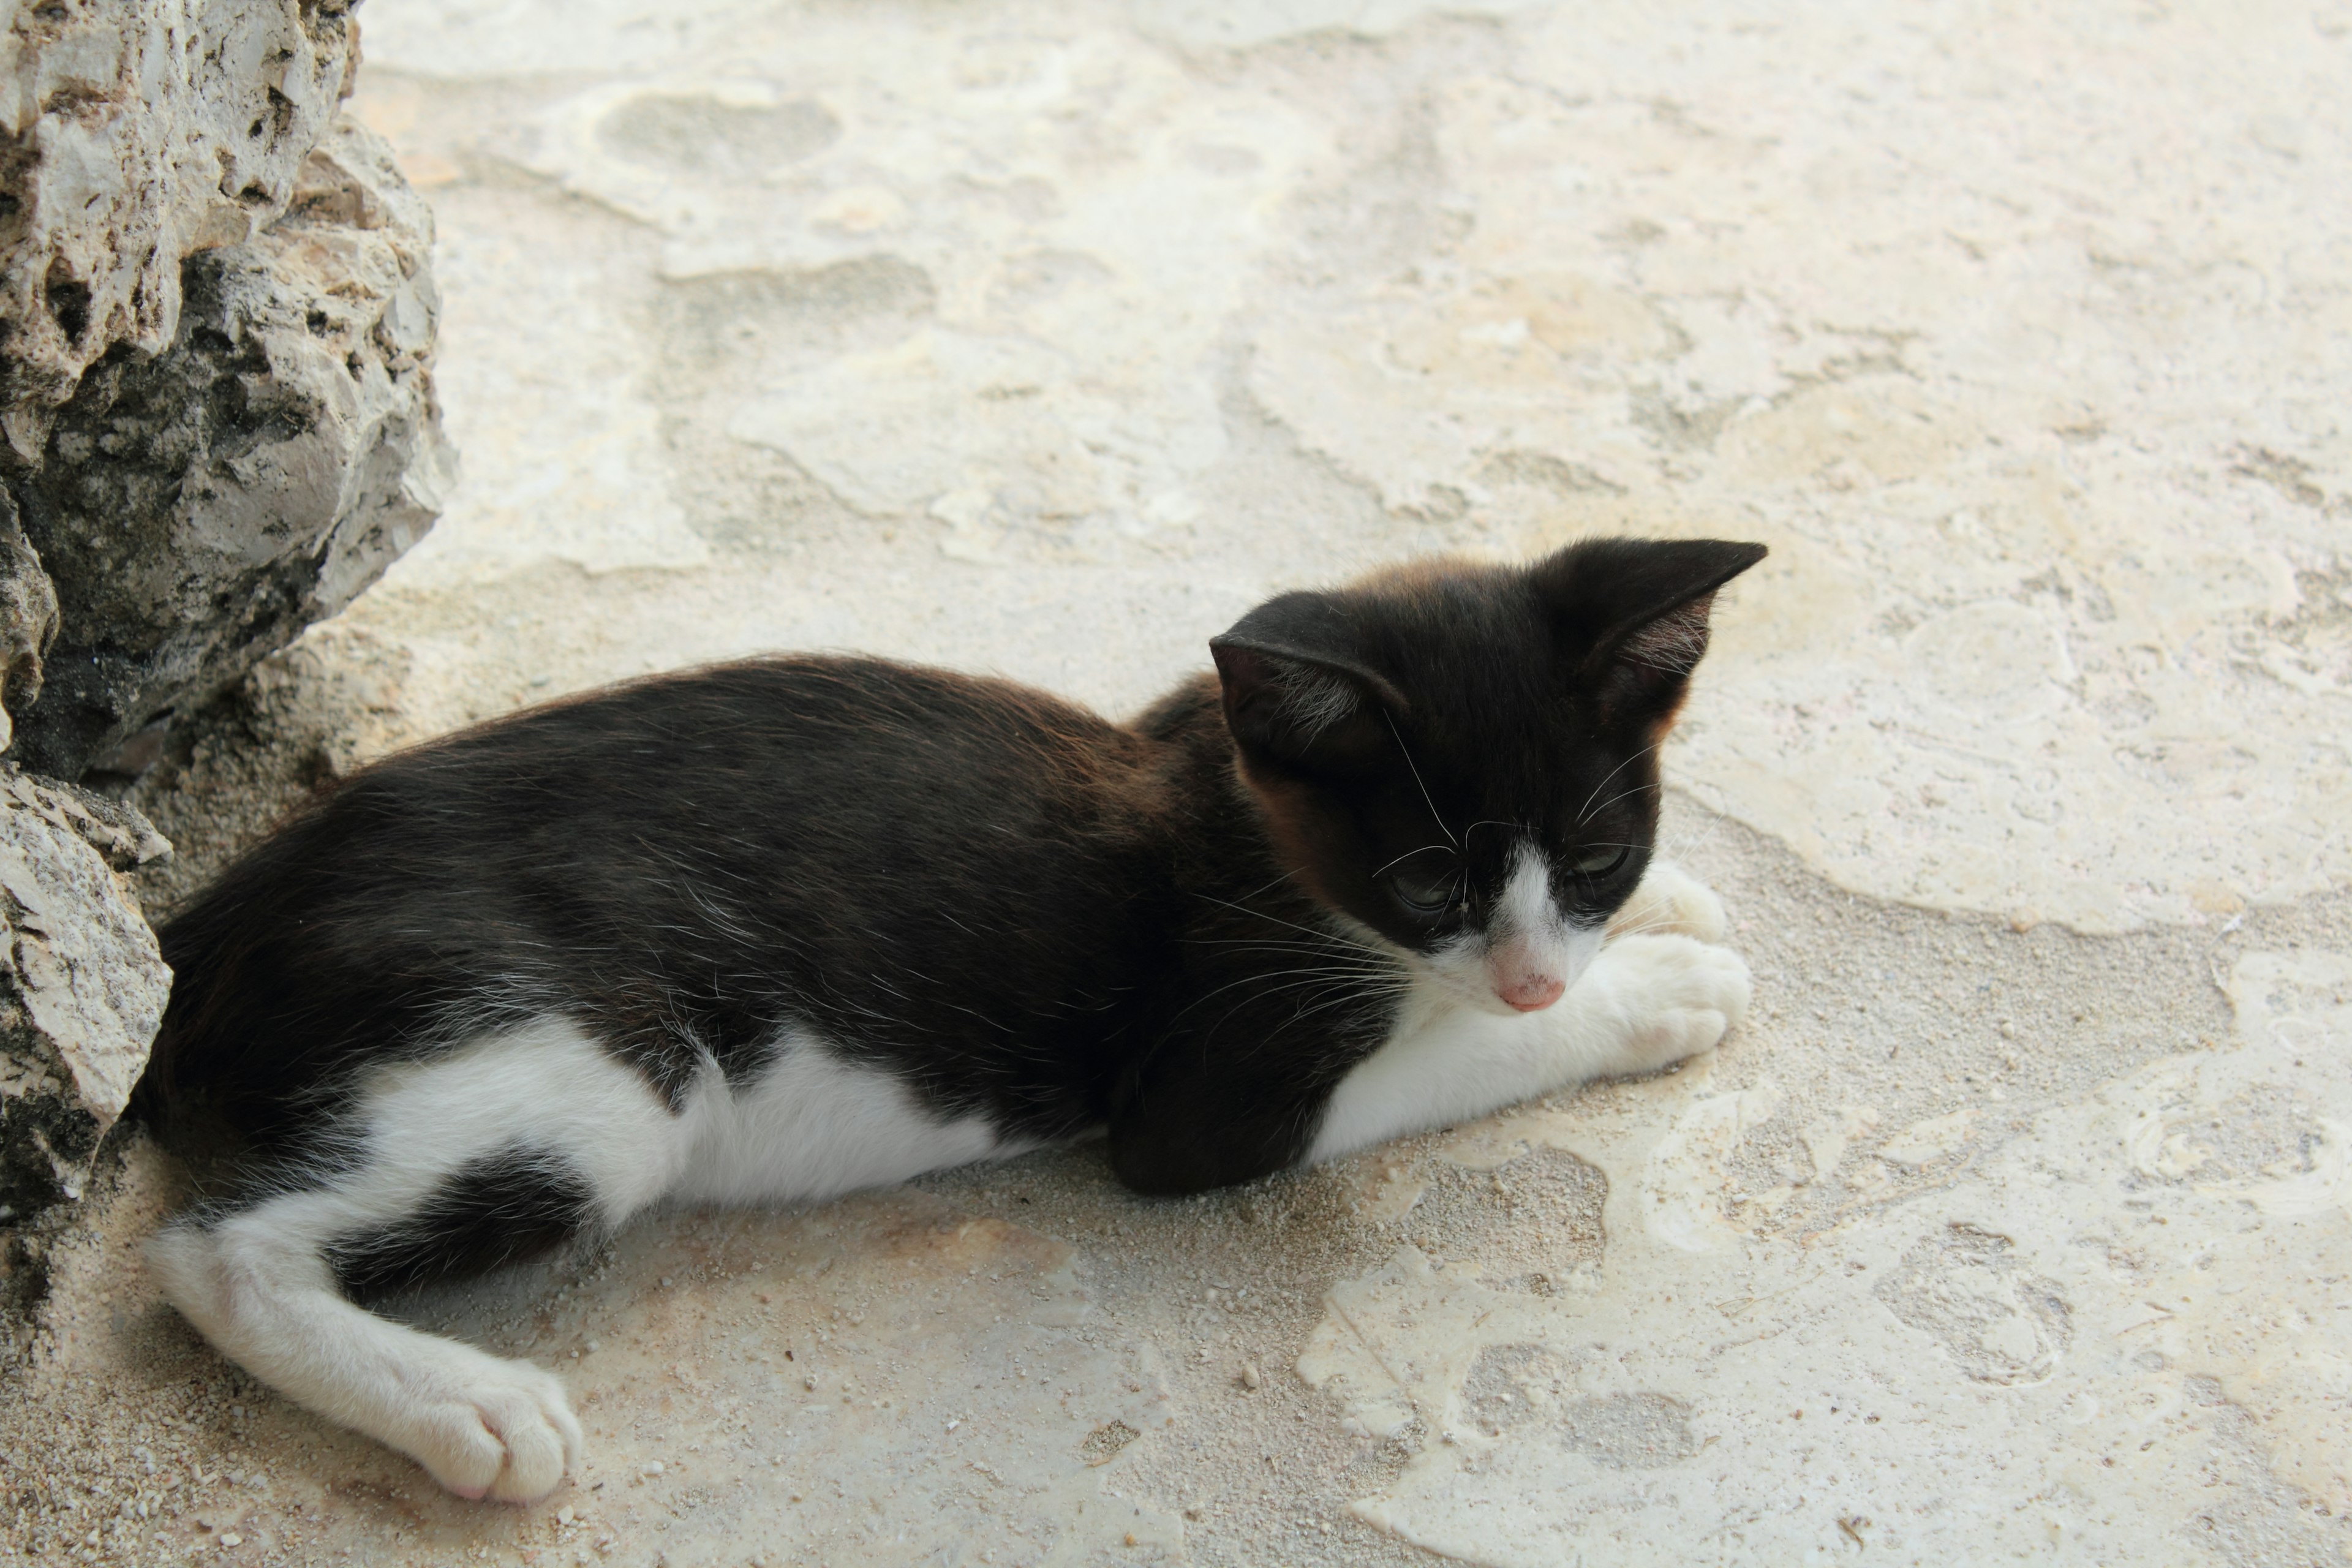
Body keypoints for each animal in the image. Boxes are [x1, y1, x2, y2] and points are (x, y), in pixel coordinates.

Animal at [137, 540, 1768, 1504]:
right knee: (210, 1249)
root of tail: (219, 911)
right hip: (584, 1082)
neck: (1241, 810)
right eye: (1430, 879)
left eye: (1597, 853)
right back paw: (466, 1407)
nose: (1538, 968)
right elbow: (1449, 1050)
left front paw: (1668, 911)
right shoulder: (1204, 1089)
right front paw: (1650, 993)